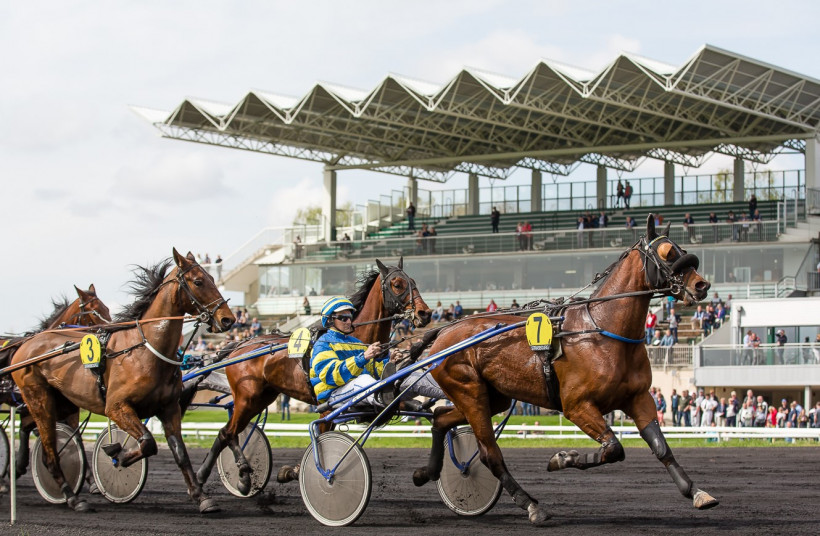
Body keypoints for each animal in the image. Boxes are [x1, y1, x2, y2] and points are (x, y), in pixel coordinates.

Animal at [10, 249, 234, 512]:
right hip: (40, 399)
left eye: (212, 278)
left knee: (29, 426)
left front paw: (201, 497)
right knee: (49, 454)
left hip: (63, 402)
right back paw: (73, 498)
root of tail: (25, 345)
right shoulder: (116, 406)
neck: (145, 350)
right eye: (198, 281)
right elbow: (148, 443)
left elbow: (179, 452)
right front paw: (118, 455)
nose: (228, 319)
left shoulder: (169, 408)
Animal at [195, 258, 432, 496]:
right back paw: (233, 476)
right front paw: (308, 474)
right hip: (247, 398)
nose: (425, 313)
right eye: (397, 284)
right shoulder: (327, 405)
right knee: (228, 433)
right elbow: (321, 438)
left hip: (261, 397)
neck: (353, 337)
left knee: (227, 433)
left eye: (413, 281)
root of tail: (239, 346)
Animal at [410, 215, 716, 524]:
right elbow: (613, 448)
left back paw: (427, 472)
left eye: (682, 249)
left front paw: (695, 492)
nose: (702, 285)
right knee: (488, 453)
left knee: (440, 418)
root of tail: (443, 332)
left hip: (491, 397)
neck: (603, 329)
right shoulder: (577, 405)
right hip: (469, 392)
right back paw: (530, 504)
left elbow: (660, 446)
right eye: (666, 253)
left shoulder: (639, 398)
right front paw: (562, 459)